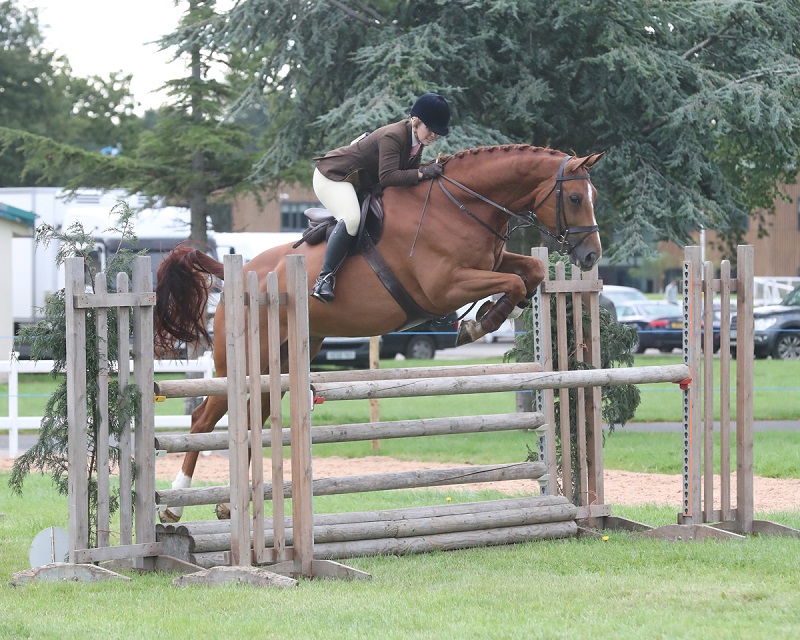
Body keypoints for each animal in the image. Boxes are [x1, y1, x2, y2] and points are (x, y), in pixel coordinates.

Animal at [153, 144, 604, 520]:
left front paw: (495, 313)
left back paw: (231, 506)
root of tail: (239, 271)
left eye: (592, 196)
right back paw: (174, 506)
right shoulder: (444, 286)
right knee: (201, 419)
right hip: (247, 359)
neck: (461, 205)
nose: (590, 256)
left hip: (276, 365)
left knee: (251, 419)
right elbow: (510, 282)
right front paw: (479, 322)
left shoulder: (489, 263)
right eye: (575, 198)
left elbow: (532, 270)